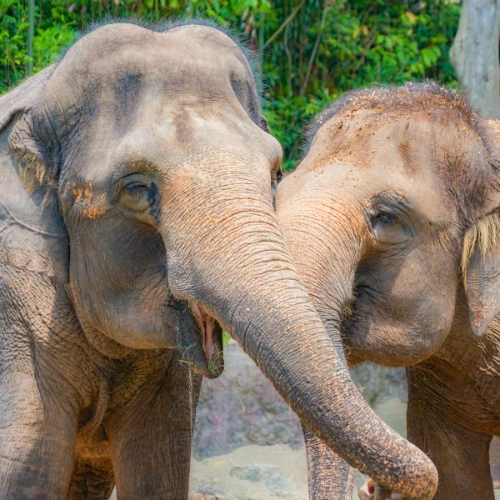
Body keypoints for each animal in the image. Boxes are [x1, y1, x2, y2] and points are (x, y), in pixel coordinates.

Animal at [0, 19, 438, 500]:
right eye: (137, 189)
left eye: (275, 173)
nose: (373, 488)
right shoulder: (17, 317)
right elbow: (25, 470)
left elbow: (160, 465)